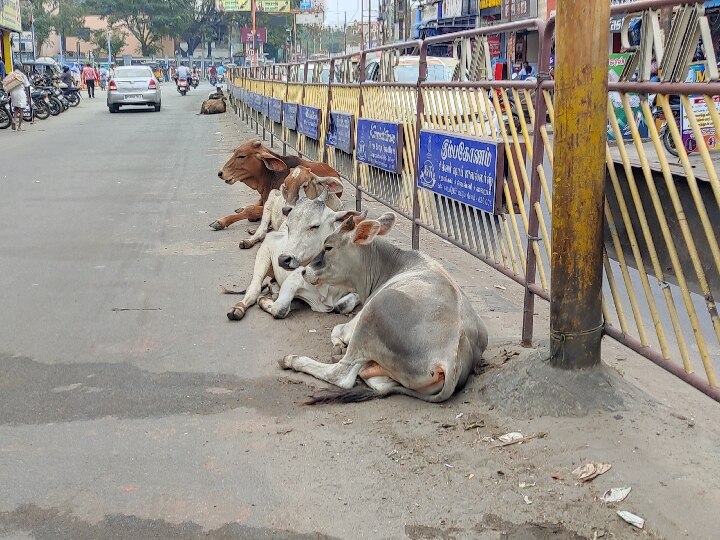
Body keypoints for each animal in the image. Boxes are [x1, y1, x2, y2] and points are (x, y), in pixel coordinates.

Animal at [278, 196, 490, 402]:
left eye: (328, 247)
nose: (305, 271)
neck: (389, 264)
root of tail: (450, 357)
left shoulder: (355, 321)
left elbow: (337, 329)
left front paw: (337, 346)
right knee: (378, 382)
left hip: (373, 313)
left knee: (341, 374)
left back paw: (292, 360)